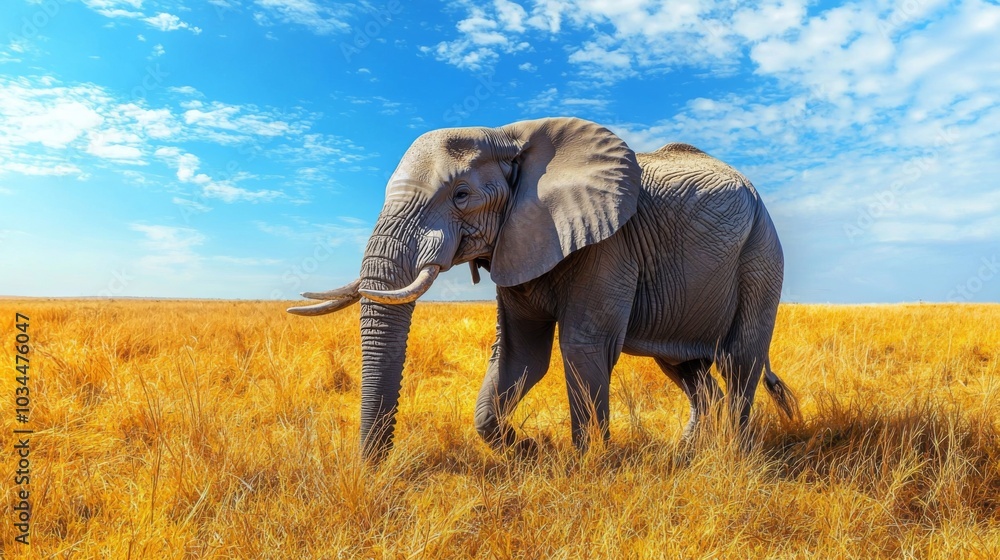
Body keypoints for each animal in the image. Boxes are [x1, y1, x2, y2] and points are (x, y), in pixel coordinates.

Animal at [288, 117, 798, 461]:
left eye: (461, 196)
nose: (373, 472)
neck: (506, 134)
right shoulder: (516, 241)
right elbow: (520, 356)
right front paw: (528, 450)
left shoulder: (609, 245)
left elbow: (582, 345)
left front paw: (589, 467)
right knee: (687, 369)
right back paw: (688, 453)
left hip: (761, 253)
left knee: (739, 361)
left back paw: (735, 457)